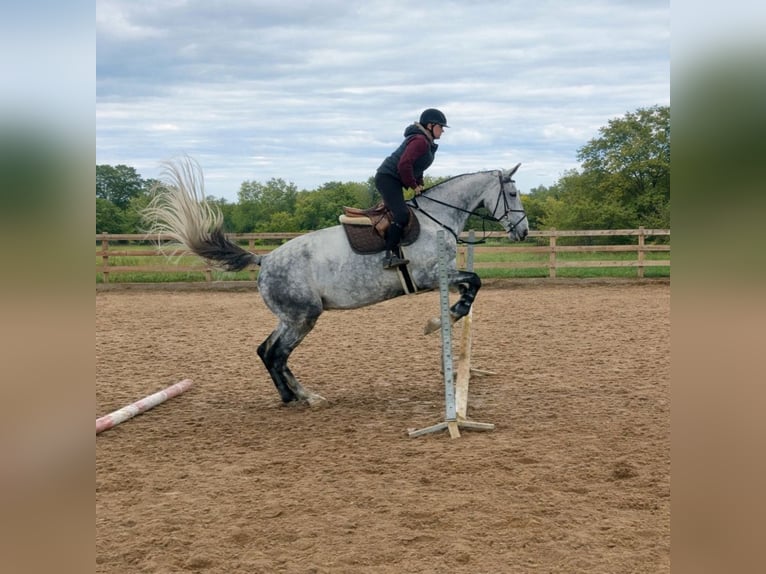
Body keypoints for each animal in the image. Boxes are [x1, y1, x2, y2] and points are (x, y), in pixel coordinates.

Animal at [143, 158, 528, 406]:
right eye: (512, 194)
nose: (523, 232)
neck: (438, 218)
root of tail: (264, 260)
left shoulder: (443, 276)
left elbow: (470, 288)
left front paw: (446, 316)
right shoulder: (433, 276)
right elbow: (474, 283)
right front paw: (438, 321)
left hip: (291, 318)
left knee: (266, 351)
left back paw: (292, 397)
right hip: (303, 317)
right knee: (277, 355)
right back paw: (305, 398)